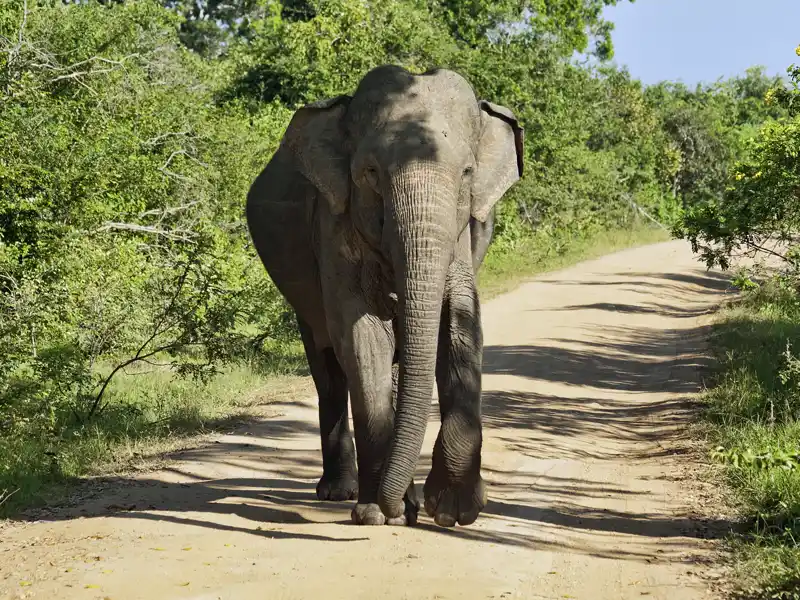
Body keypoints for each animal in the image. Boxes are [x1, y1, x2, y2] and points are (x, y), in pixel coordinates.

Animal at [247, 64, 520, 524]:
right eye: (371, 173)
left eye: (467, 173)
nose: (409, 508)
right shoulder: (333, 222)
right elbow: (364, 340)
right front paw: (380, 513)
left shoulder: (462, 237)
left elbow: (461, 324)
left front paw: (452, 512)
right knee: (327, 366)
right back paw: (338, 492)